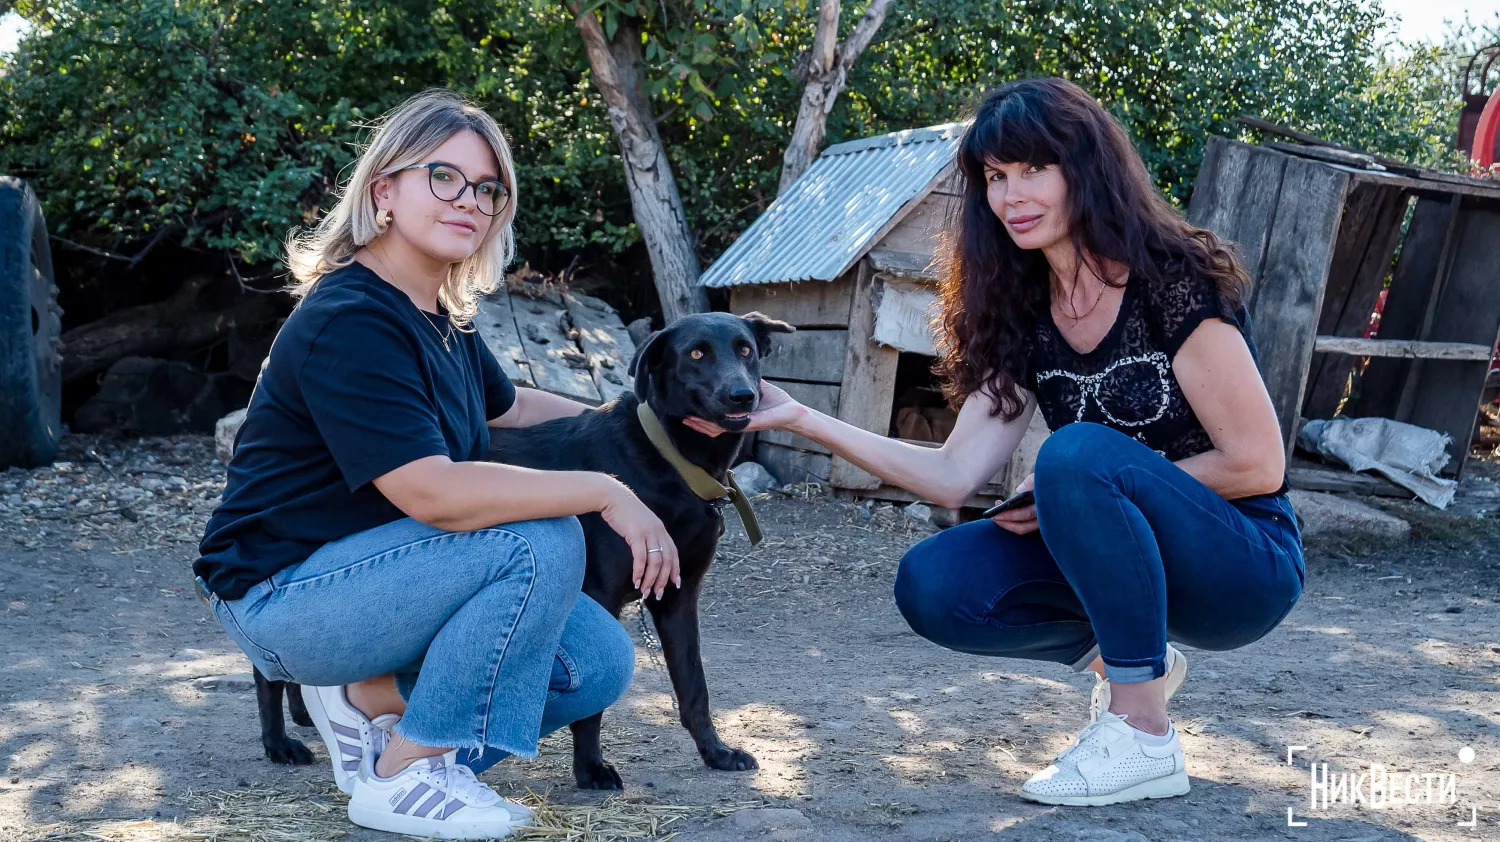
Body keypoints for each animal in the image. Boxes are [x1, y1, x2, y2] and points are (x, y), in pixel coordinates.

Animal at [249, 310, 798, 786]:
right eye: (697, 353)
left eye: (746, 351)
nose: (742, 395)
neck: (671, 460)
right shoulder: (602, 594)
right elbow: (594, 708)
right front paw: (591, 769)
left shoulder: (679, 598)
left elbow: (694, 688)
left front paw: (716, 753)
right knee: (266, 669)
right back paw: (278, 742)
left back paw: (305, 715)